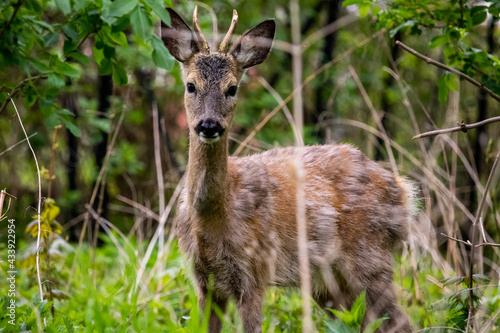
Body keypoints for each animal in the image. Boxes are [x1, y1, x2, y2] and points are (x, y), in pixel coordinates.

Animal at [162, 5, 416, 332]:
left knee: (399, 321)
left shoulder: (254, 271)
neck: (216, 214)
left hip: (371, 257)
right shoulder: (203, 280)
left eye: (232, 88)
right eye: (190, 85)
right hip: (329, 283)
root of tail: (403, 189)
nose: (209, 125)